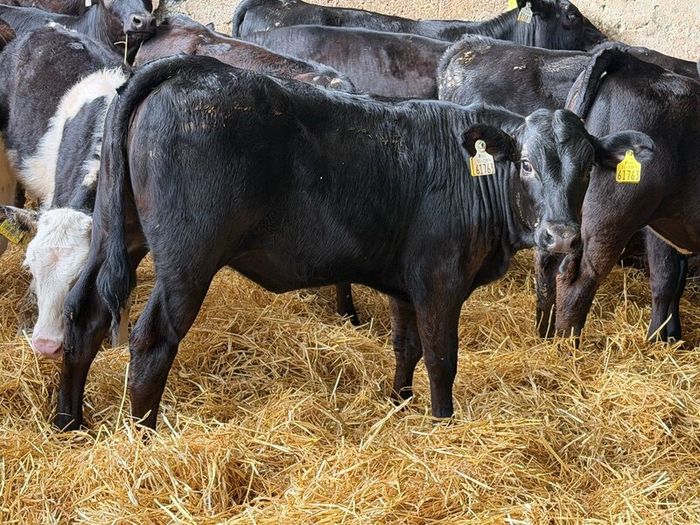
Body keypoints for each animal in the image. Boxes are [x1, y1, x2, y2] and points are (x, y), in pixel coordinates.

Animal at [55, 55, 652, 431]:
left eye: (585, 171)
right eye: (526, 163)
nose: (561, 236)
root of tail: (191, 68)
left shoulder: (405, 283)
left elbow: (407, 347)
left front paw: (399, 404)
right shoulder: (439, 280)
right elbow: (441, 357)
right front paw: (442, 423)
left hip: (117, 232)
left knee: (85, 316)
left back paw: (69, 421)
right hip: (187, 258)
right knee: (151, 338)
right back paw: (144, 435)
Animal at [438, 36, 698, 341]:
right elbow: (668, 280)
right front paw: (663, 339)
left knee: (547, 264)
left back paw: (545, 334)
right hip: (610, 214)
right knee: (578, 279)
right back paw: (567, 345)